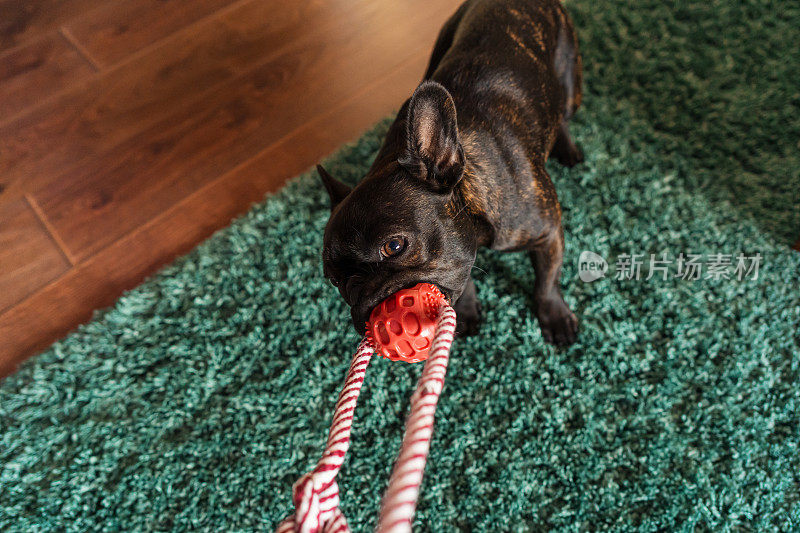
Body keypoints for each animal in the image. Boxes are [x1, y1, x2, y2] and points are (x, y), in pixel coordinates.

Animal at [318, 0, 580, 344]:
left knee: (563, 113)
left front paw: (555, 316)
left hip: (570, 83)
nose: (364, 303)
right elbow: (461, 278)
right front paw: (464, 313)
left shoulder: (548, 233)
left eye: (394, 246)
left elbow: (547, 279)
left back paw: (568, 148)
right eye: (335, 281)